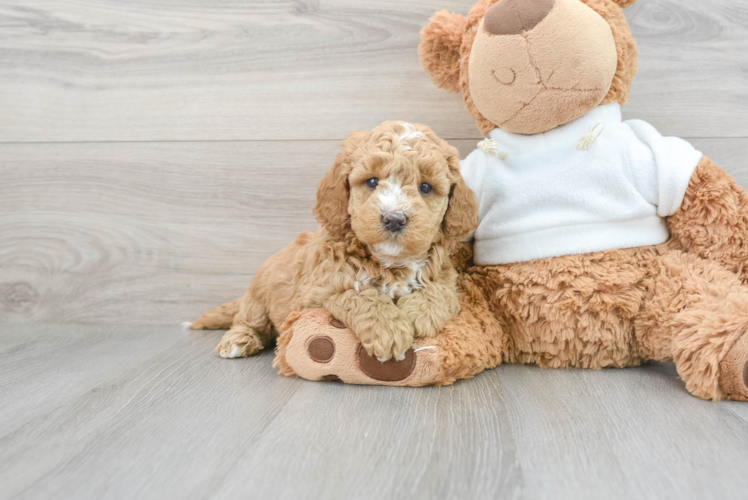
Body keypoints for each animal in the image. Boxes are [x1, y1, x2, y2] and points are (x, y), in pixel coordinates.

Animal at [190, 122, 476, 364]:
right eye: (372, 181)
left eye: (426, 187)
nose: (394, 219)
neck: (391, 262)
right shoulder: (317, 292)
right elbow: (358, 294)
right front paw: (389, 330)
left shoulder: (446, 276)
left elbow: (441, 291)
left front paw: (421, 313)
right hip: (258, 298)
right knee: (247, 320)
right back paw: (237, 340)